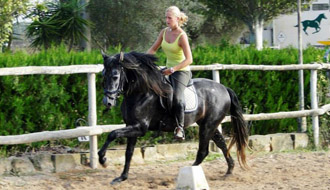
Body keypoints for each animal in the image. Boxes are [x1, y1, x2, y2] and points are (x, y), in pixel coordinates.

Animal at [99, 50, 249, 184]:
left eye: (115, 76)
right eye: (103, 75)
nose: (108, 102)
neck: (140, 92)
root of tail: (224, 88)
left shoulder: (140, 128)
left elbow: (112, 134)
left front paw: (103, 160)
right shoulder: (131, 125)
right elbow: (128, 152)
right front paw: (122, 177)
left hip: (207, 126)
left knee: (203, 151)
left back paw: (184, 175)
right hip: (208, 124)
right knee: (222, 144)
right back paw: (229, 170)